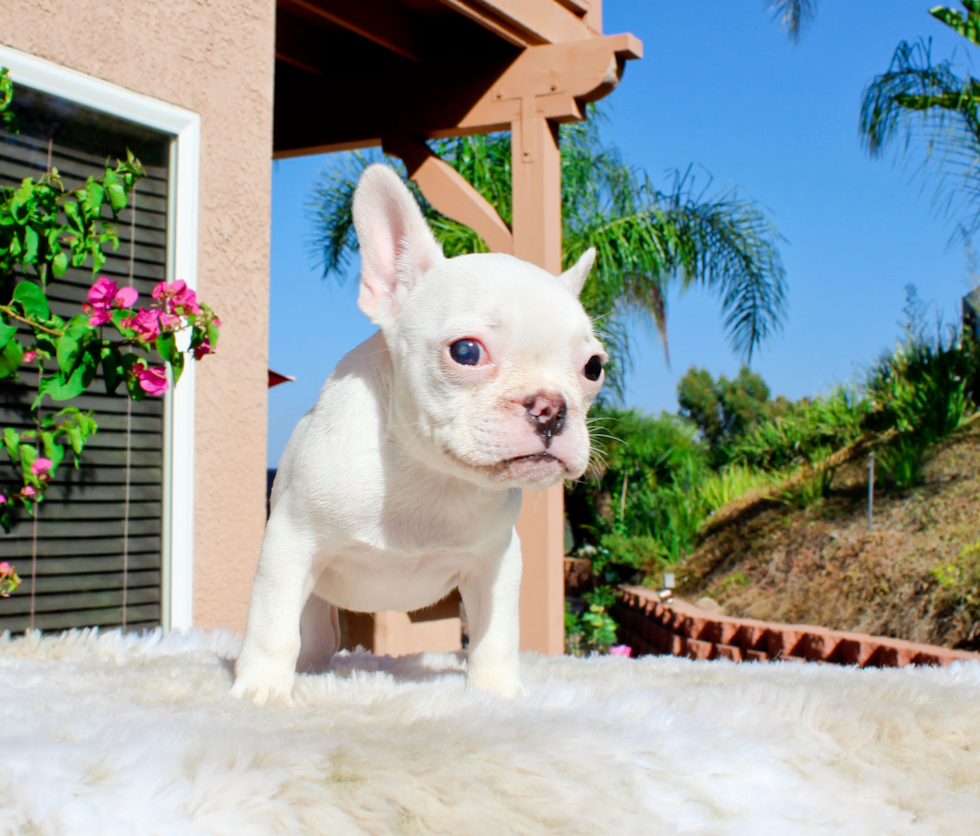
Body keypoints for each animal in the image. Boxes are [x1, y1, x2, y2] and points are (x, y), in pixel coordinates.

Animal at [233, 163, 604, 704]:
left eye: (594, 367)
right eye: (466, 352)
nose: (551, 408)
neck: (426, 473)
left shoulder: (495, 563)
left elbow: (497, 634)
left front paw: (496, 692)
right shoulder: (290, 542)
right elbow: (272, 625)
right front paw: (261, 689)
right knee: (313, 632)